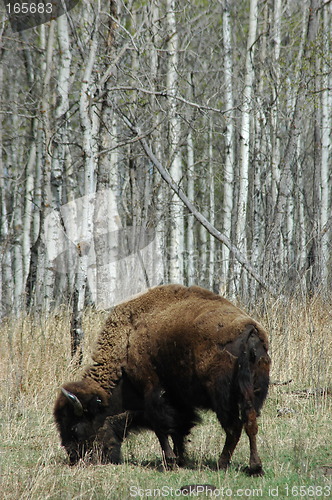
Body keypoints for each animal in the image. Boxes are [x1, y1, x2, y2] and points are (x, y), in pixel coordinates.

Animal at [54, 284, 272, 474]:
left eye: (75, 427)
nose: (74, 458)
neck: (127, 343)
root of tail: (250, 331)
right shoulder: (178, 400)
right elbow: (179, 428)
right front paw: (181, 459)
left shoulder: (153, 392)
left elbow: (161, 427)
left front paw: (171, 461)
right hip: (252, 393)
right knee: (250, 422)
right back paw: (255, 467)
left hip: (223, 397)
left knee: (234, 427)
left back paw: (222, 464)